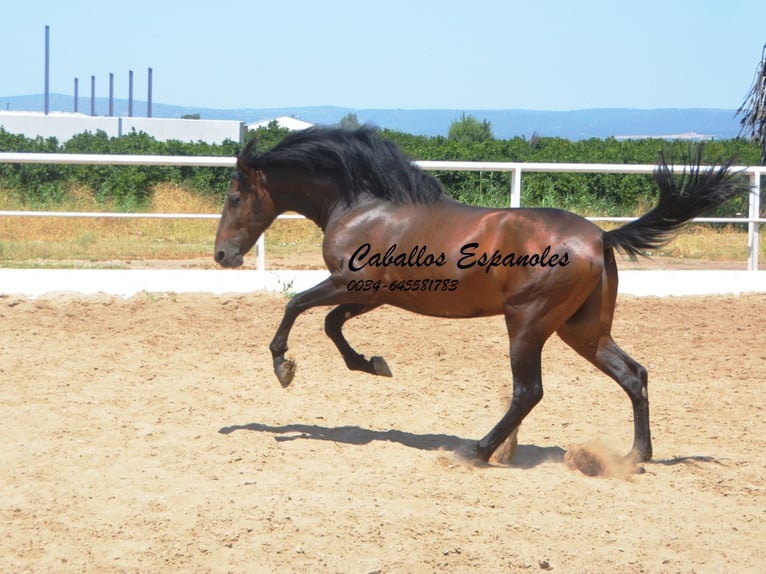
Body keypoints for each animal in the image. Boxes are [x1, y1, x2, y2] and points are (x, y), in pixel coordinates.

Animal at [212, 128, 752, 466]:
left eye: (235, 196)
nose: (222, 255)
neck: (368, 206)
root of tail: (601, 235)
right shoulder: (375, 294)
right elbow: (331, 324)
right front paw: (373, 363)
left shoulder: (353, 284)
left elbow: (297, 306)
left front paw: (284, 367)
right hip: (582, 329)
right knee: (633, 375)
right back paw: (633, 456)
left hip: (528, 324)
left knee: (529, 391)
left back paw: (477, 451)